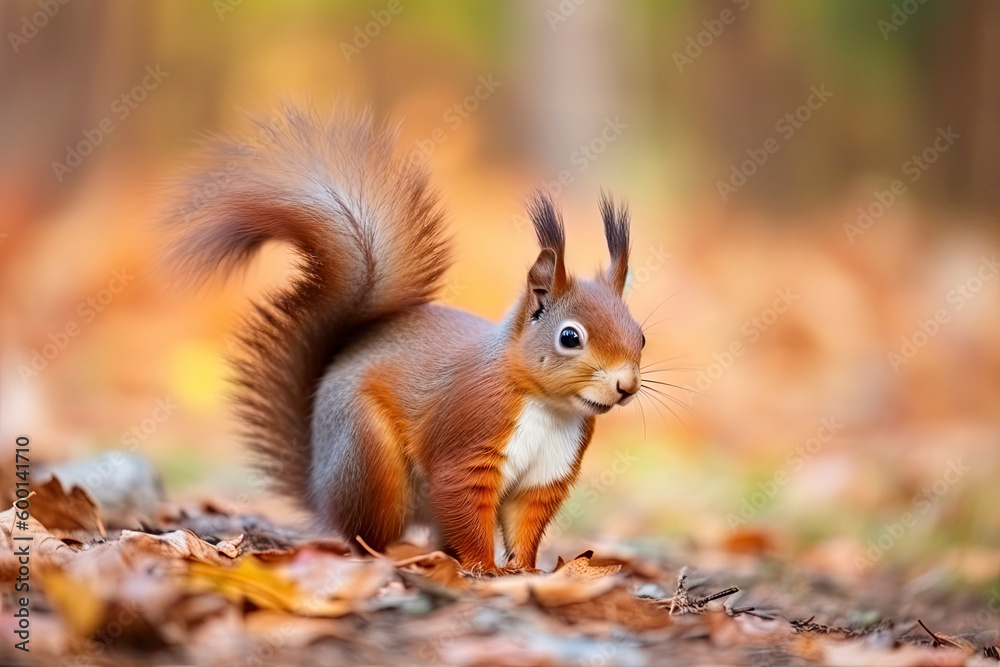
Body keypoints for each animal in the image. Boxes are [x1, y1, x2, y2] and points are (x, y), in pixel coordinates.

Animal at [168, 105, 644, 576]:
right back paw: (397, 554)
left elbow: (526, 524)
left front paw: (525, 570)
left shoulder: (547, 476)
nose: (626, 386)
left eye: (640, 336)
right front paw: (484, 567)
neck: (549, 409)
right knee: (365, 537)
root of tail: (319, 487)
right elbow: (463, 503)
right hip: (369, 457)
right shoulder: (468, 437)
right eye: (570, 336)